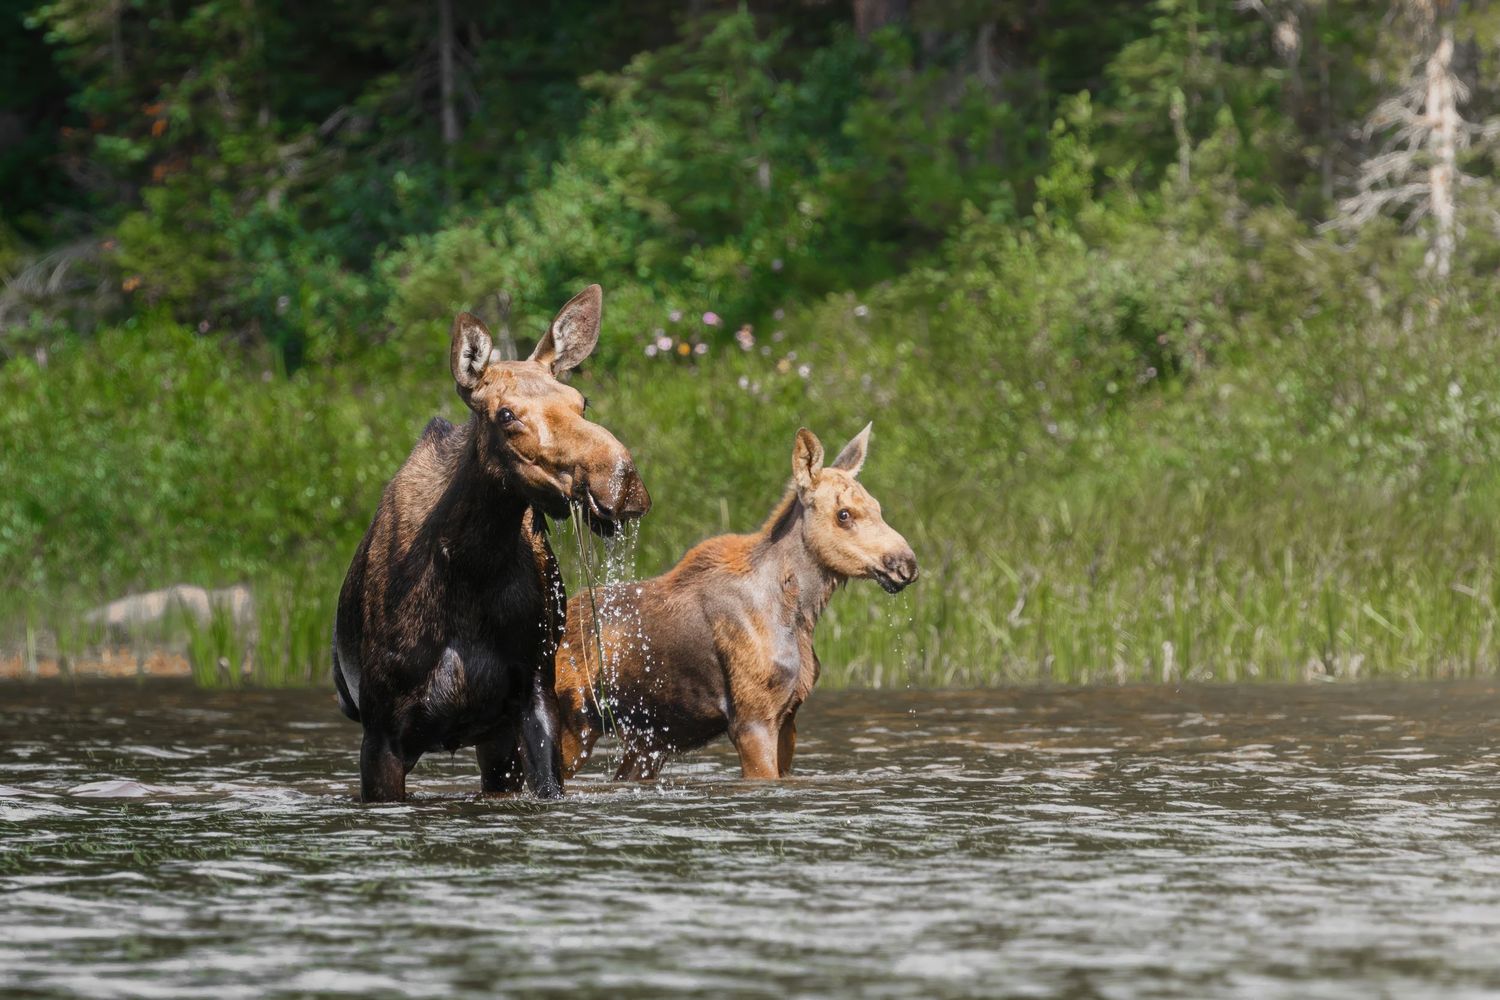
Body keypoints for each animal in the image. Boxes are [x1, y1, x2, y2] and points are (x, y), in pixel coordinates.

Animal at [332, 285, 650, 802]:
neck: (471, 563)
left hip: (496, 742)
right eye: (505, 414)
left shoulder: (532, 701)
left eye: (581, 400)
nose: (621, 481)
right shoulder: (381, 735)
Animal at [554, 424, 917, 781]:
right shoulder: (752, 720)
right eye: (844, 515)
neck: (800, 616)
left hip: (643, 746)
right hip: (574, 729)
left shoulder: (788, 717)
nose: (906, 563)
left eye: (878, 507)